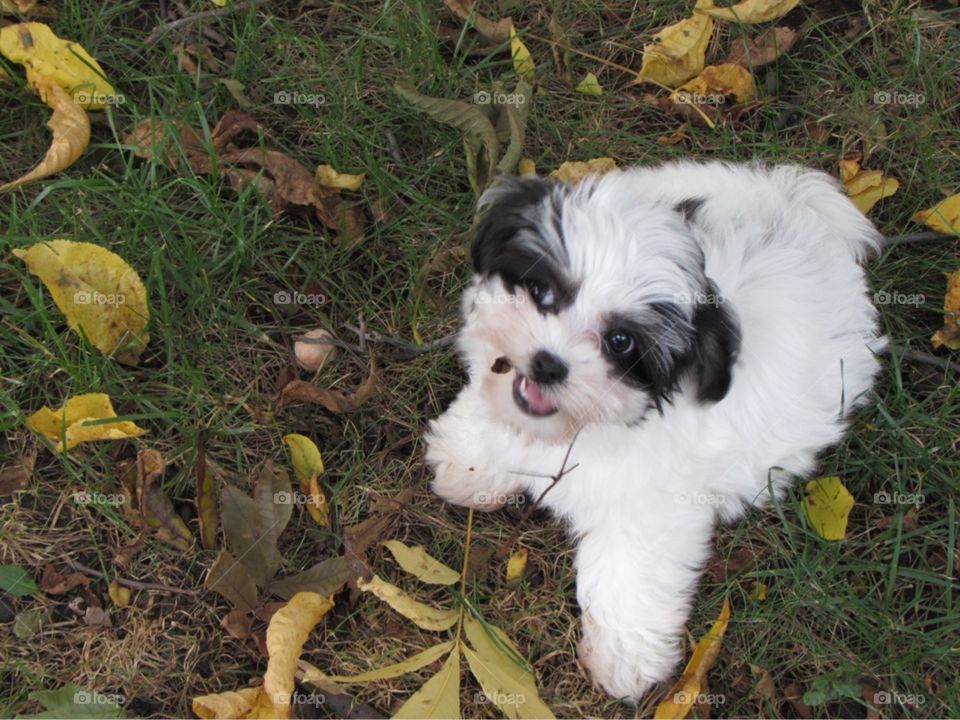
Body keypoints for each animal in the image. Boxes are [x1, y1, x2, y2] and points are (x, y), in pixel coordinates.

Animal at [424, 160, 888, 700]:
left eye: (621, 342)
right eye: (542, 292)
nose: (548, 363)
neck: (587, 423)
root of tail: (795, 211)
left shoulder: (652, 509)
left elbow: (627, 573)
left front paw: (623, 658)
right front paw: (470, 460)